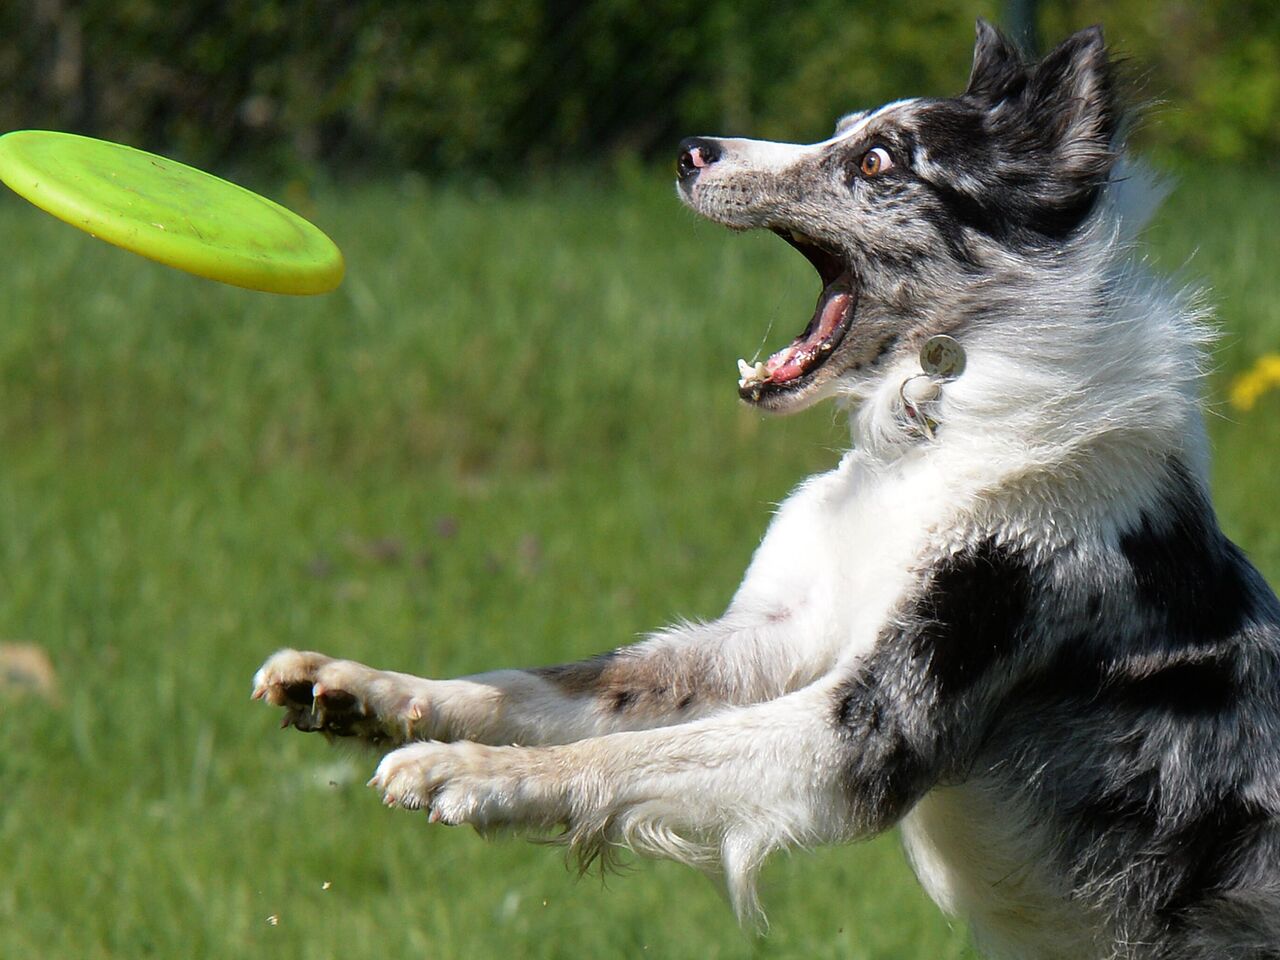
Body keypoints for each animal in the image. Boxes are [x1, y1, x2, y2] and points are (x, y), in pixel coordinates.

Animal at [249, 22, 1280, 960]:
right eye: (846, 129)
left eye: (876, 160)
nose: (689, 149)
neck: (931, 433)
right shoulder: (769, 639)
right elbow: (549, 686)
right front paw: (365, 690)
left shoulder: (866, 726)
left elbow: (628, 752)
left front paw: (467, 773)